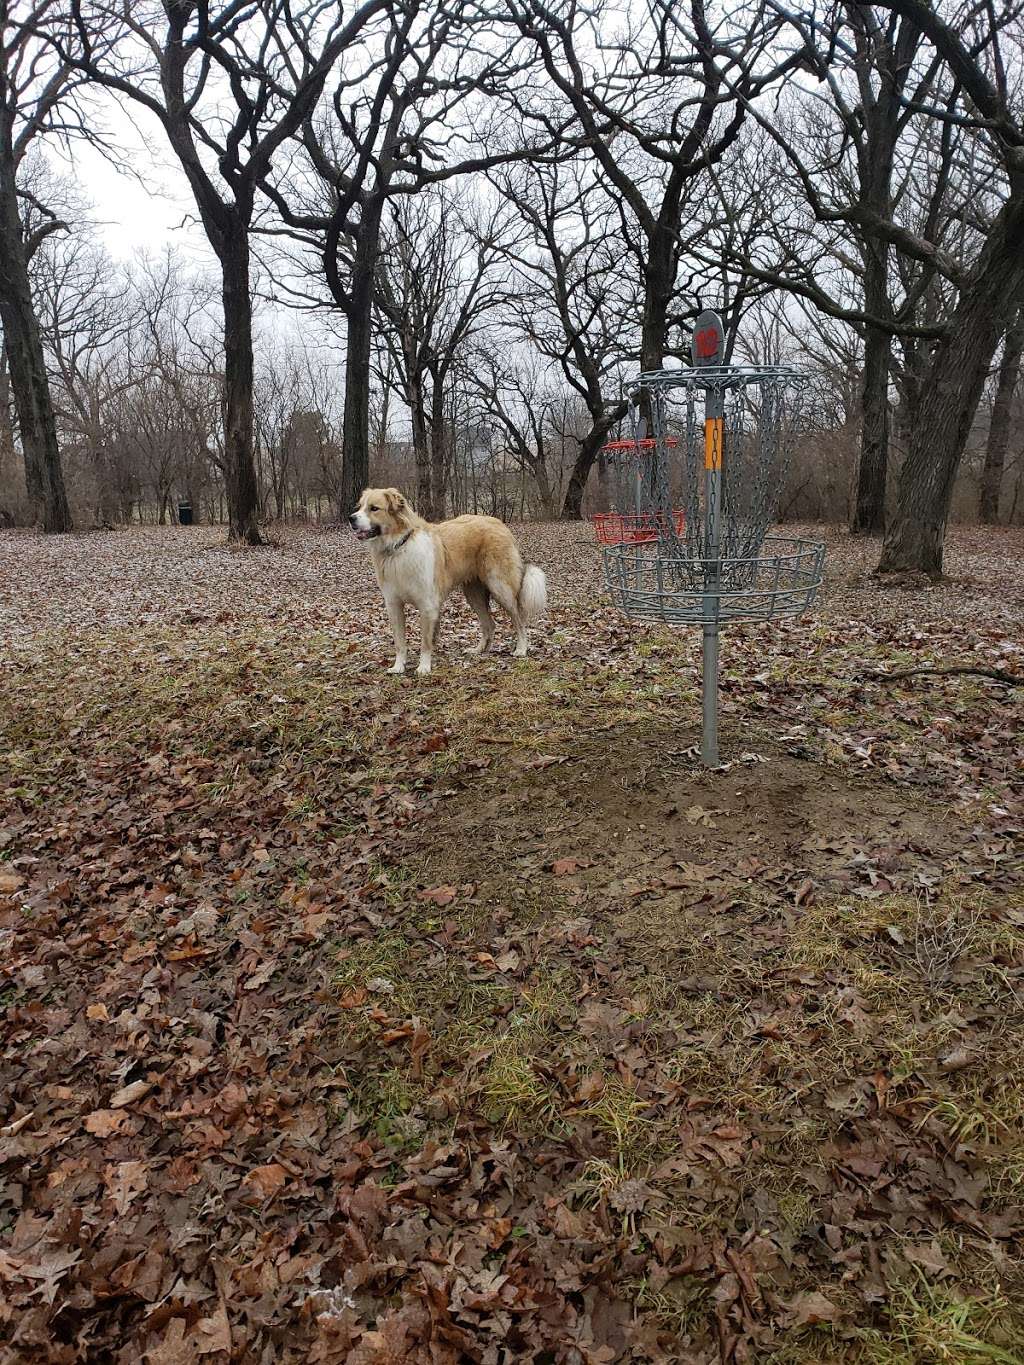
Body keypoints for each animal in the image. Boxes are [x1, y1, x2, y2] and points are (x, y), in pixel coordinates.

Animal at [352, 488, 548, 674]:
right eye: (360, 507)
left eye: (374, 508)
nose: (350, 518)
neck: (399, 547)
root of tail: (498, 523)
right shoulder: (394, 606)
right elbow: (400, 642)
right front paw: (398, 667)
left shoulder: (427, 606)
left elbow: (425, 642)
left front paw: (424, 667)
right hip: (474, 595)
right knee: (489, 625)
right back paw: (478, 650)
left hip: (500, 588)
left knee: (519, 618)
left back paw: (521, 649)